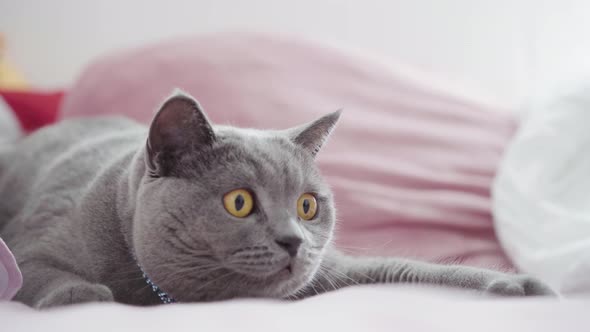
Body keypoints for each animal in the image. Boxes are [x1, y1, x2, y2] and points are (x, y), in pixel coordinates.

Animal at [0, 91, 556, 308]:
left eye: (308, 206)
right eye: (240, 203)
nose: (293, 240)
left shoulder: (336, 268)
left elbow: (414, 267)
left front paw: (523, 286)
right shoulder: (33, 245)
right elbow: (43, 275)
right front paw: (86, 296)